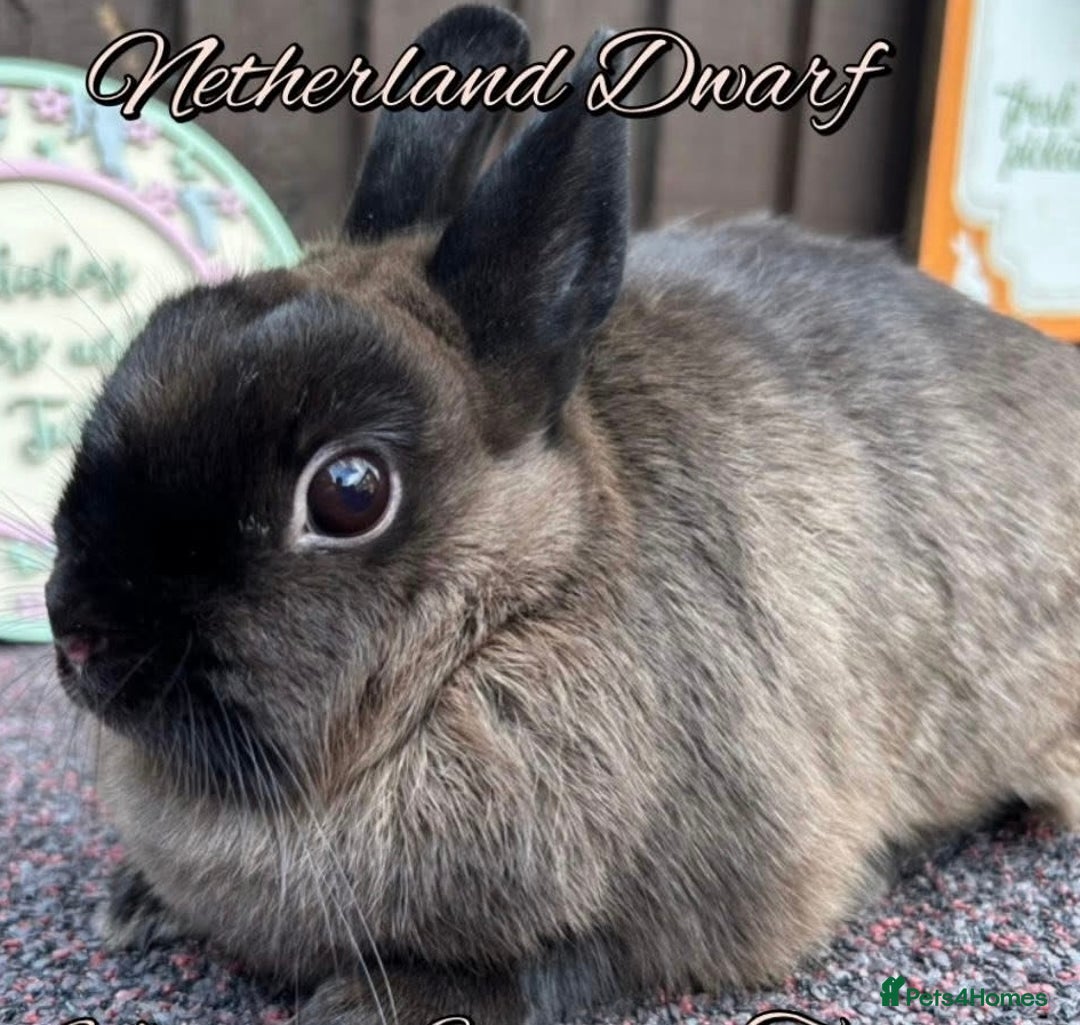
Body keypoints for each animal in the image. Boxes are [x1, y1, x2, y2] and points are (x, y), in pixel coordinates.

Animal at [45, 5, 1080, 1025]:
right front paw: (134, 903)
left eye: (348, 493)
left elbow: (573, 964)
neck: (508, 616)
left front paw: (373, 1001)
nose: (77, 633)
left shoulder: (711, 892)